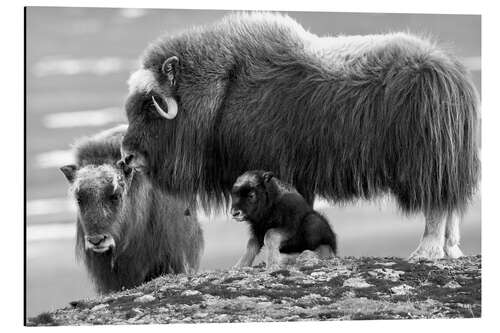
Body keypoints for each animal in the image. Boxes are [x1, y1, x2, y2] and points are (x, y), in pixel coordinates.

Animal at [120, 11, 480, 260]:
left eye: (150, 105)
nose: (127, 157)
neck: (222, 90)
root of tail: (452, 74)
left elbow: (266, 231)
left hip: (425, 163)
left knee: (436, 206)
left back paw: (426, 252)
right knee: (450, 205)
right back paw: (451, 251)